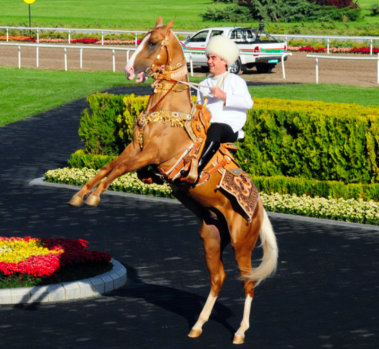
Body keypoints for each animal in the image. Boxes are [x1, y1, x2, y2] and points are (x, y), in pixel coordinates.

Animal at [69, 16, 280, 342]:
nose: (128, 70)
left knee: (248, 282)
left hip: (241, 242)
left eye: (154, 42)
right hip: (211, 236)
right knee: (218, 278)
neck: (168, 113)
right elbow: (110, 167)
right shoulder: (135, 149)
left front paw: (93, 196)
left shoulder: (151, 153)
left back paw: (240, 332)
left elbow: (118, 170)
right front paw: (82, 194)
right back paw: (197, 325)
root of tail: (258, 208)